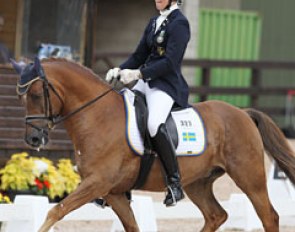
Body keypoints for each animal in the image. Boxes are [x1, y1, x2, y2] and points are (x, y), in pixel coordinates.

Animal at [12, 56, 295, 232]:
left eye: (35, 95)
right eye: (21, 98)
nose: (33, 139)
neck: (98, 117)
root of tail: (242, 113)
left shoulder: (97, 183)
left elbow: (55, 212)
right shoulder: (113, 192)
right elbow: (132, 226)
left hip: (249, 176)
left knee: (269, 216)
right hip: (198, 183)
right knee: (216, 215)